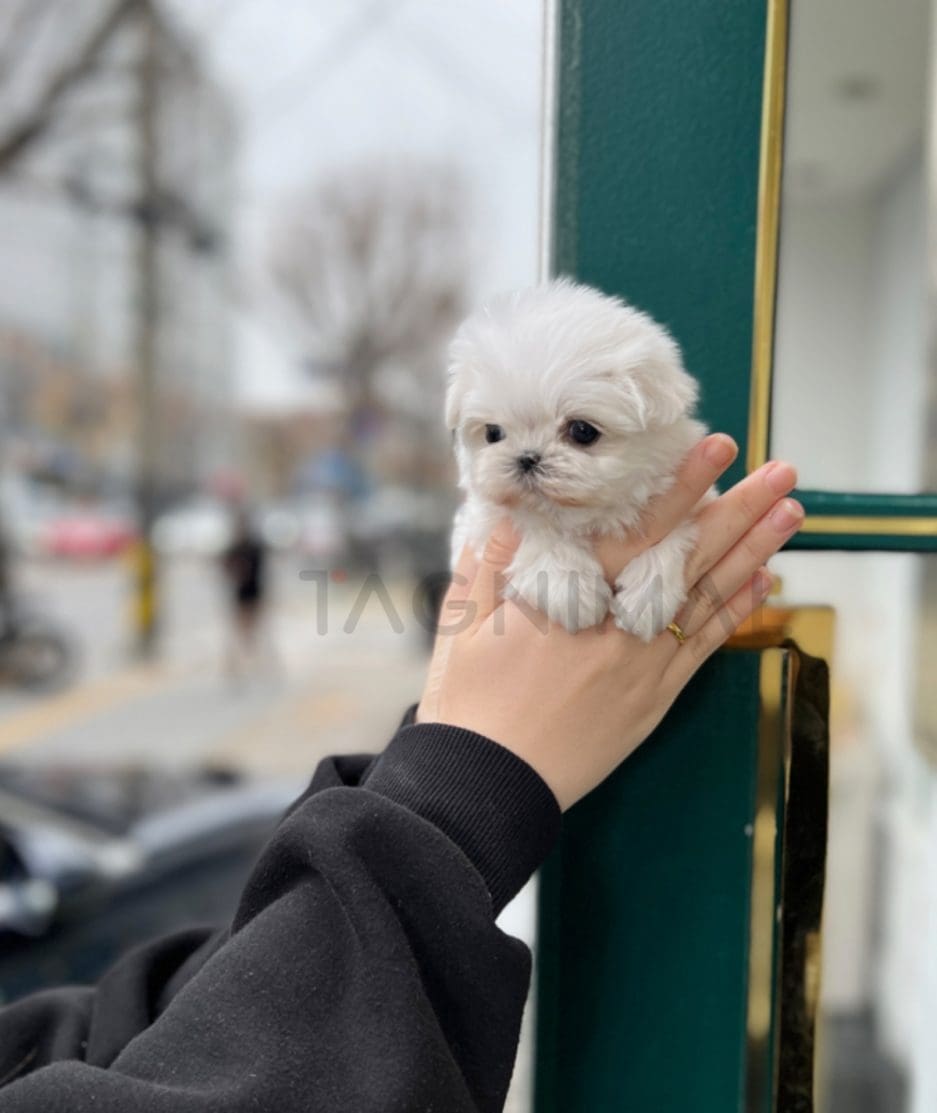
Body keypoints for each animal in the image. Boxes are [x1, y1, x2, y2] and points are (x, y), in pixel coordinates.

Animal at [445, 280, 707, 645]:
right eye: (493, 433)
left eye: (582, 431)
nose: (527, 458)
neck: (582, 514)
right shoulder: (483, 523)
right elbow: (537, 528)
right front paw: (570, 590)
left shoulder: (686, 496)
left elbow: (675, 528)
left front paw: (647, 599)